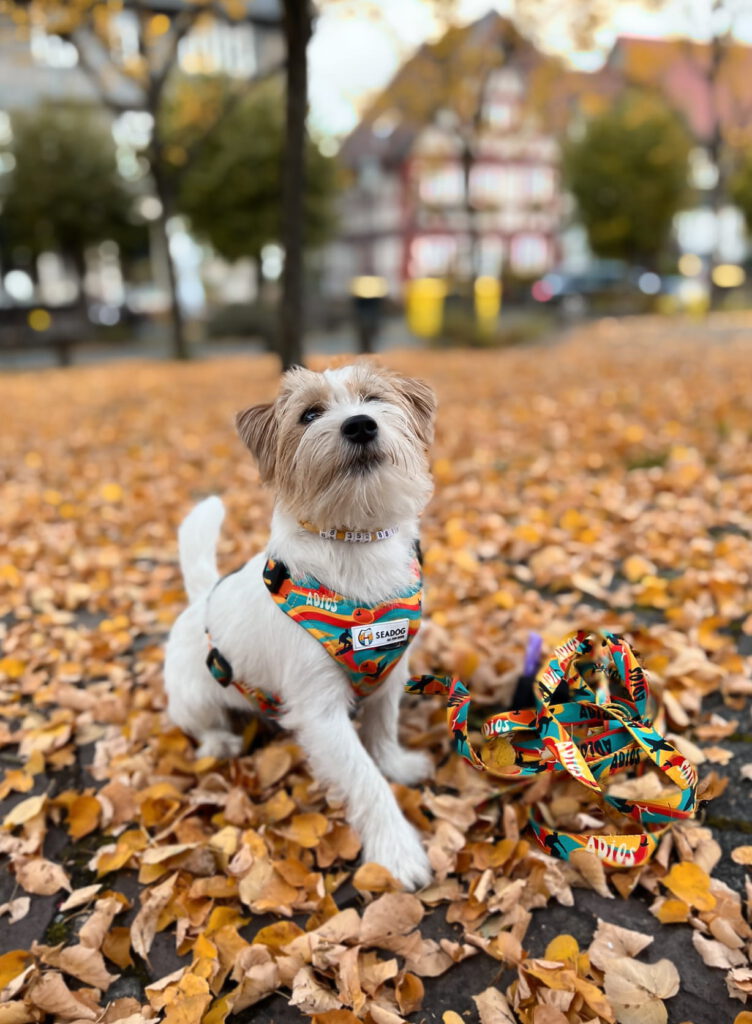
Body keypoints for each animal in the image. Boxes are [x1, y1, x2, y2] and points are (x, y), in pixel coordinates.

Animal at [164, 362, 436, 888]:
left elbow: (383, 732)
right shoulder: (320, 712)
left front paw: (398, 765)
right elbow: (365, 777)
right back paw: (221, 741)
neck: (354, 542)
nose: (360, 425)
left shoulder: (391, 678)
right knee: (201, 725)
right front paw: (397, 852)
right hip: (194, 697)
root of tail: (200, 599)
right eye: (309, 414)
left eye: (373, 398)